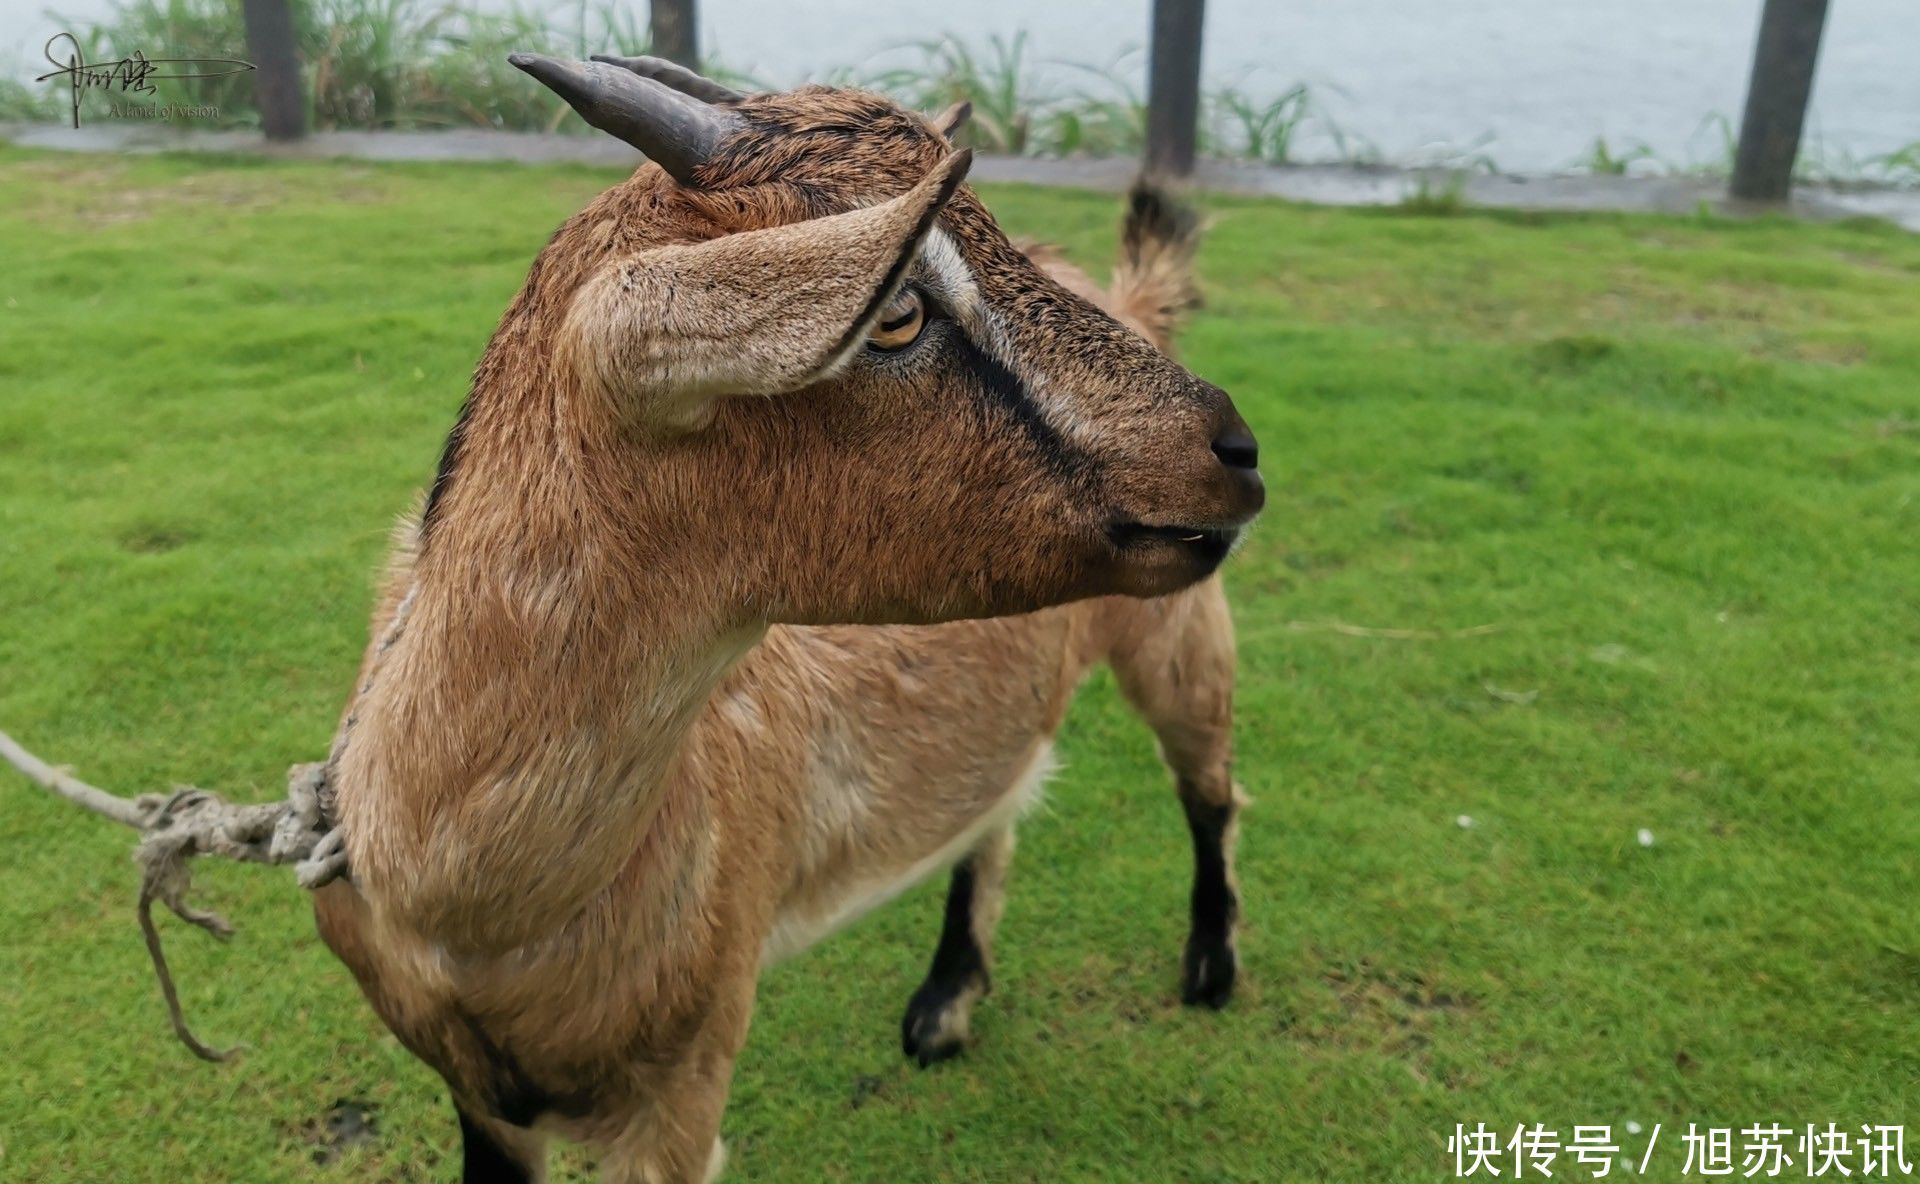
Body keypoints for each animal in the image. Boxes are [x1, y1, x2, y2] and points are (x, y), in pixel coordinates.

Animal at [314, 55, 1267, 1182]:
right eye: (895, 312)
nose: (1234, 447)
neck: (471, 911)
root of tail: (1129, 295)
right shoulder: (480, 1100)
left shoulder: (685, 1080)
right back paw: (945, 1005)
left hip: (1181, 630)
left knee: (1210, 787)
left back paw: (1210, 968)